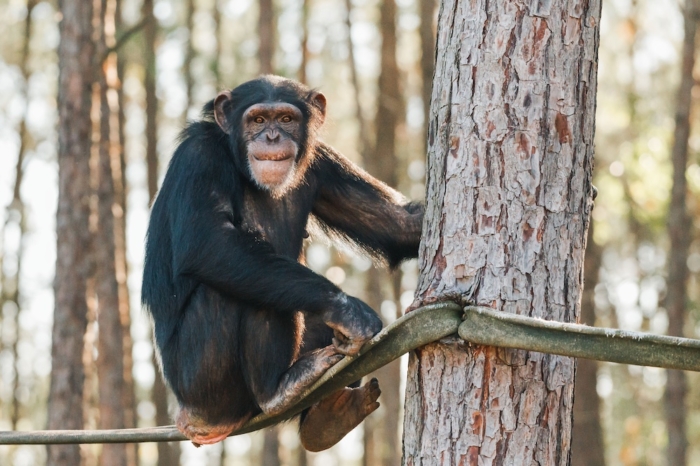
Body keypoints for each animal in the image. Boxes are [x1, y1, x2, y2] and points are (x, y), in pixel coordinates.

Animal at [144, 75, 422, 452]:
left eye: (287, 119)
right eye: (258, 119)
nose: (272, 136)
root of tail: (191, 421)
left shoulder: (324, 161)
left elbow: (396, 225)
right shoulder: (198, 157)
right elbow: (208, 242)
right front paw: (349, 311)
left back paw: (328, 416)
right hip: (200, 388)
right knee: (239, 285)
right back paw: (279, 390)